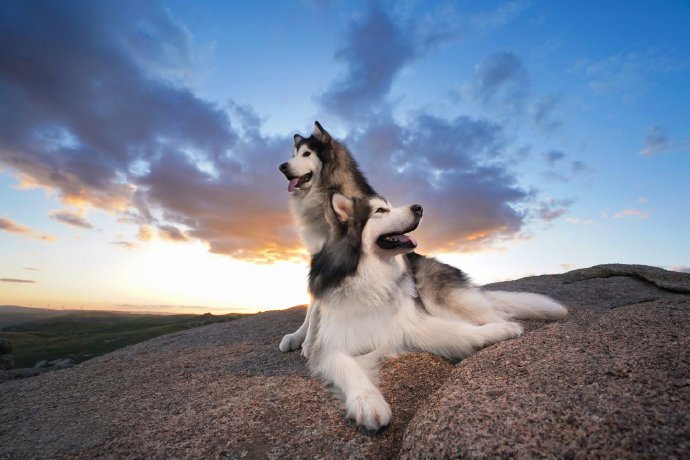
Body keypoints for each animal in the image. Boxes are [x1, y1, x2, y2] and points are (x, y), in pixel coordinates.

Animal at [300, 192, 564, 430]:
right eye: (380, 211)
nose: (419, 207)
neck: (370, 276)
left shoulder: (411, 324)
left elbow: (460, 332)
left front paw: (496, 333)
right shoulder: (330, 344)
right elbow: (349, 368)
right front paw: (367, 402)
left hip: (454, 300)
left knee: (491, 312)